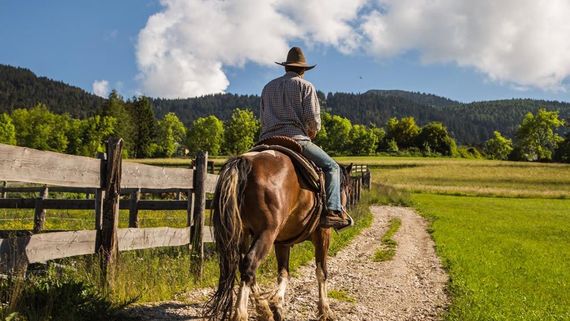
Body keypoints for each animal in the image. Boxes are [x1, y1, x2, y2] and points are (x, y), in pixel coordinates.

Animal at [206, 149, 352, 318]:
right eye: (347, 189)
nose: (342, 213)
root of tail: (245, 162)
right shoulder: (323, 234)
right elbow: (321, 271)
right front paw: (325, 310)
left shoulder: (283, 242)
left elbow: (284, 273)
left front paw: (277, 304)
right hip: (266, 233)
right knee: (249, 264)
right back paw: (241, 314)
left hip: (243, 234)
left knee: (243, 265)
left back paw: (263, 309)